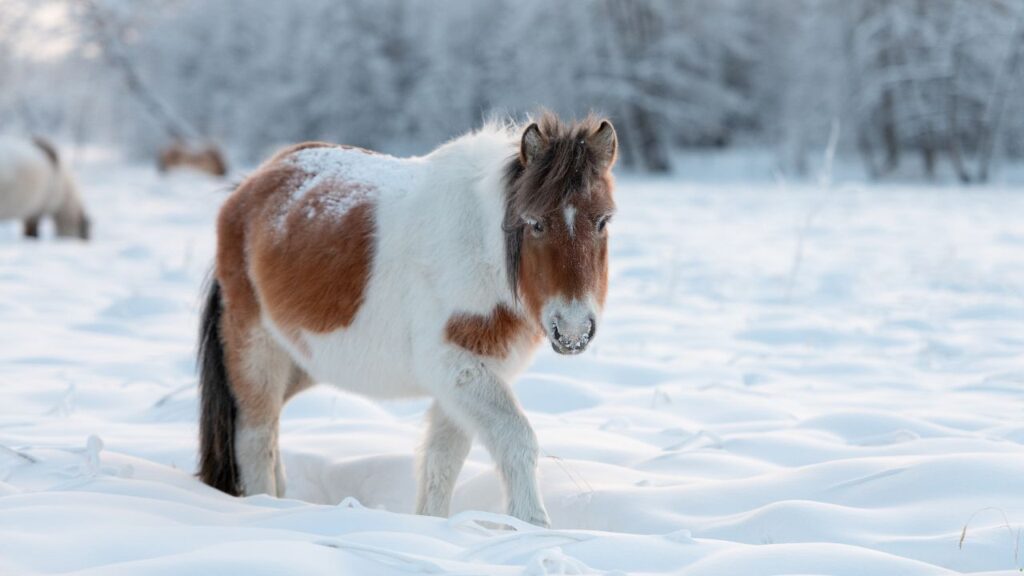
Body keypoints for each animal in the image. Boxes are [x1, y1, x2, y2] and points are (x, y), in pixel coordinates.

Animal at [197, 113, 618, 527]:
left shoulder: (464, 379)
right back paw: (265, 507)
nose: (574, 331)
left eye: (603, 222)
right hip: (256, 352)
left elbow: (441, 462)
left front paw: (432, 528)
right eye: (535, 223)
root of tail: (248, 187)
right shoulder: (460, 369)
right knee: (255, 438)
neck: (481, 249)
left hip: (298, 363)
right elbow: (516, 438)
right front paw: (531, 526)